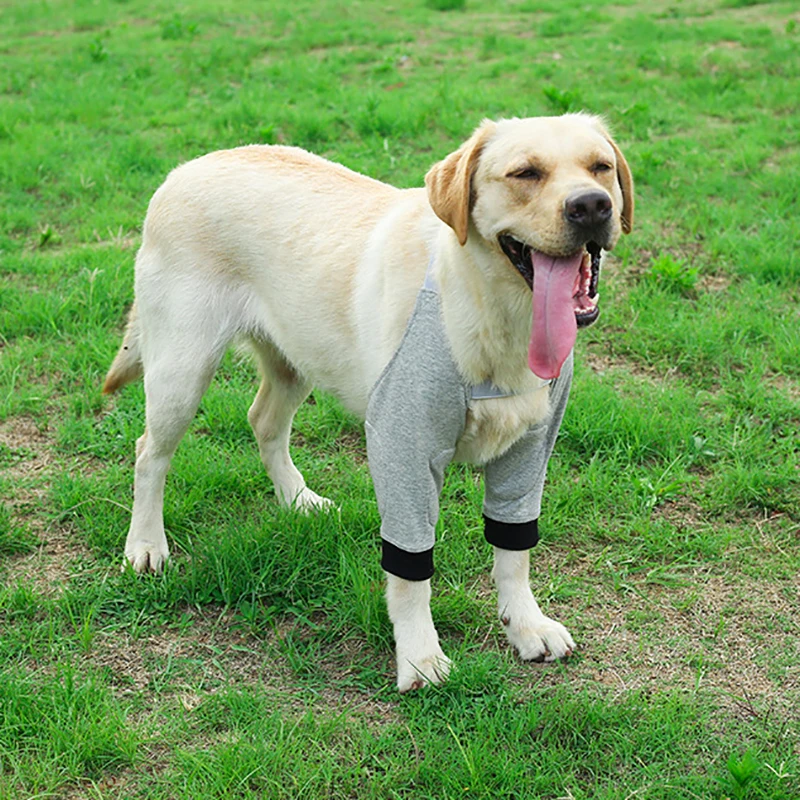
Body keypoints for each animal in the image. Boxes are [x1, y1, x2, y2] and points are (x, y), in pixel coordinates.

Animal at [103, 109, 636, 692]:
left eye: (600, 167)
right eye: (525, 173)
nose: (591, 206)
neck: (490, 315)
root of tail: (187, 167)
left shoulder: (530, 450)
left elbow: (514, 550)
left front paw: (526, 625)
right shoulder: (403, 449)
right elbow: (410, 572)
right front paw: (419, 656)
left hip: (297, 356)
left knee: (263, 420)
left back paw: (298, 499)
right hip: (182, 369)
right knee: (148, 453)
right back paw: (146, 546)